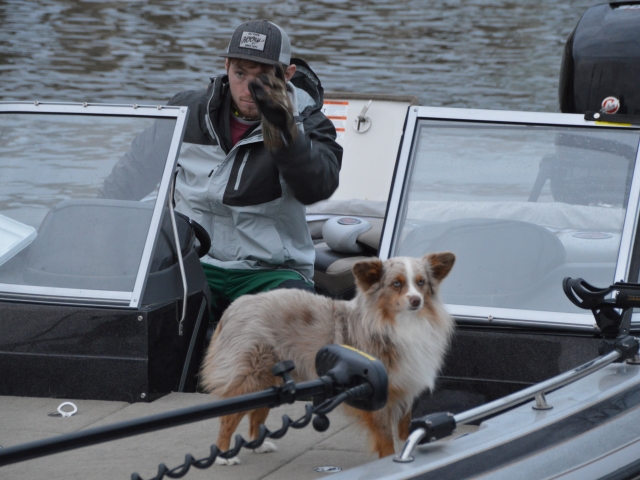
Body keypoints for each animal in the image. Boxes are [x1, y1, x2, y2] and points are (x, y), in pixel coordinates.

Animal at [200, 252, 456, 465]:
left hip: (271, 378)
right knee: (229, 416)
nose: (416, 301)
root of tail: (235, 306)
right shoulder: (376, 392)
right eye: (396, 284)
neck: (400, 323)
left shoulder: (406, 388)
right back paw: (223, 455)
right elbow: (385, 437)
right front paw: (388, 462)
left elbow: (404, 430)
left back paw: (258, 445)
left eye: (421, 283)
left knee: (257, 412)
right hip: (252, 376)